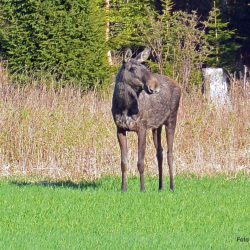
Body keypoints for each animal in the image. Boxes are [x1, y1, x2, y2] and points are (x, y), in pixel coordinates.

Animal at [112, 47, 181, 191]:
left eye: (144, 67)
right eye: (132, 68)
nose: (154, 86)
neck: (124, 107)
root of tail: (179, 85)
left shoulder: (141, 128)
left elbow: (140, 162)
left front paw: (142, 189)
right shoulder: (120, 128)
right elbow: (123, 162)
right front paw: (123, 189)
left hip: (171, 119)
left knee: (170, 152)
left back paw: (172, 187)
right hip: (156, 127)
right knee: (159, 152)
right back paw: (160, 187)